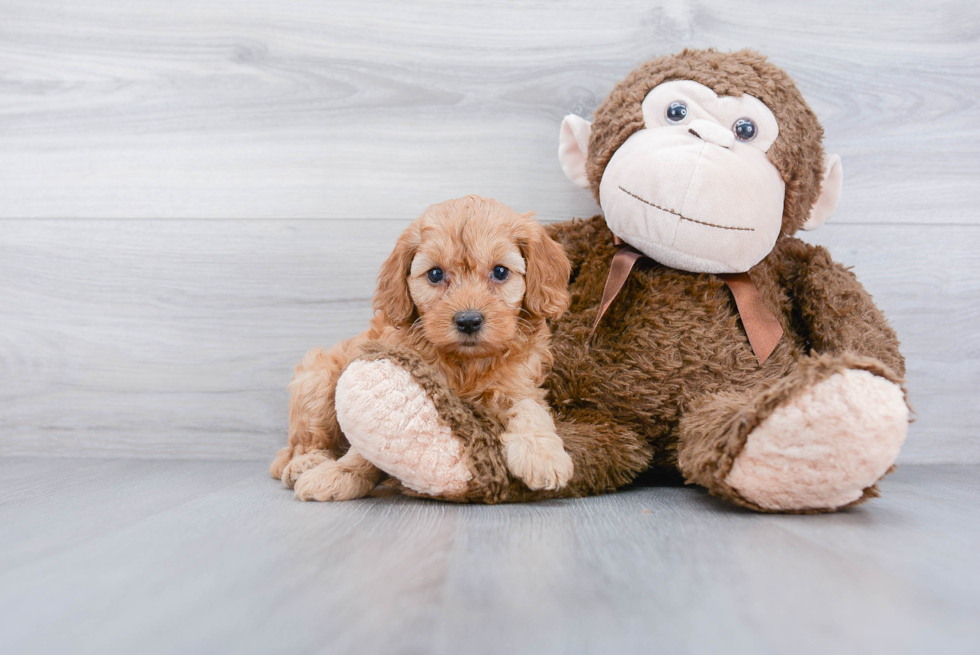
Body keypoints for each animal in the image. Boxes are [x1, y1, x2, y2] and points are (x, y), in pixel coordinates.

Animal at [270, 195, 576, 502]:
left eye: (500, 271)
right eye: (435, 274)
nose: (468, 320)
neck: (466, 363)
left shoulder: (520, 385)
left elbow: (530, 410)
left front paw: (542, 455)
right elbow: (370, 440)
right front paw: (340, 473)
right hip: (316, 379)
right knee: (304, 441)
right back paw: (305, 462)